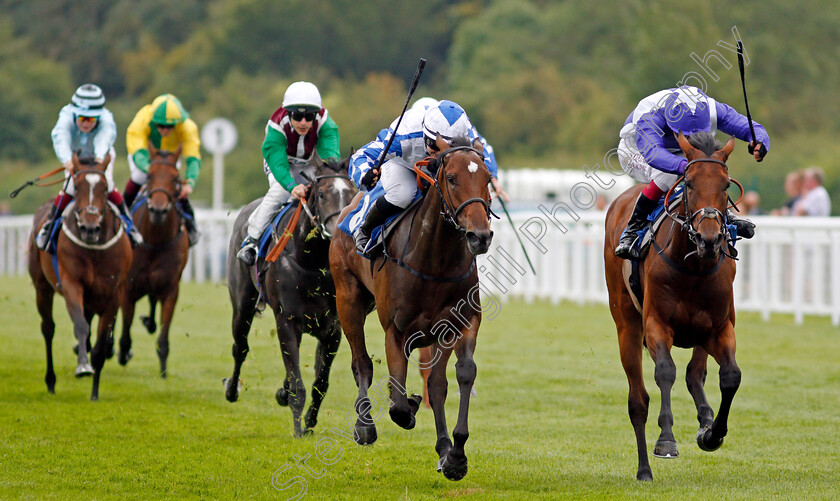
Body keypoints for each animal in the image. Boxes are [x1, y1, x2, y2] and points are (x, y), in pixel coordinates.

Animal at [225, 156, 356, 434]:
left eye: (351, 194)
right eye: (321, 194)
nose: (338, 231)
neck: (312, 263)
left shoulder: (333, 328)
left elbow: (320, 382)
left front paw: (308, 422)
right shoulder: (286, 321)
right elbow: (298, 384)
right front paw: (297, 429)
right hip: (242, 303)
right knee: (240, 346)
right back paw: (231, 389)